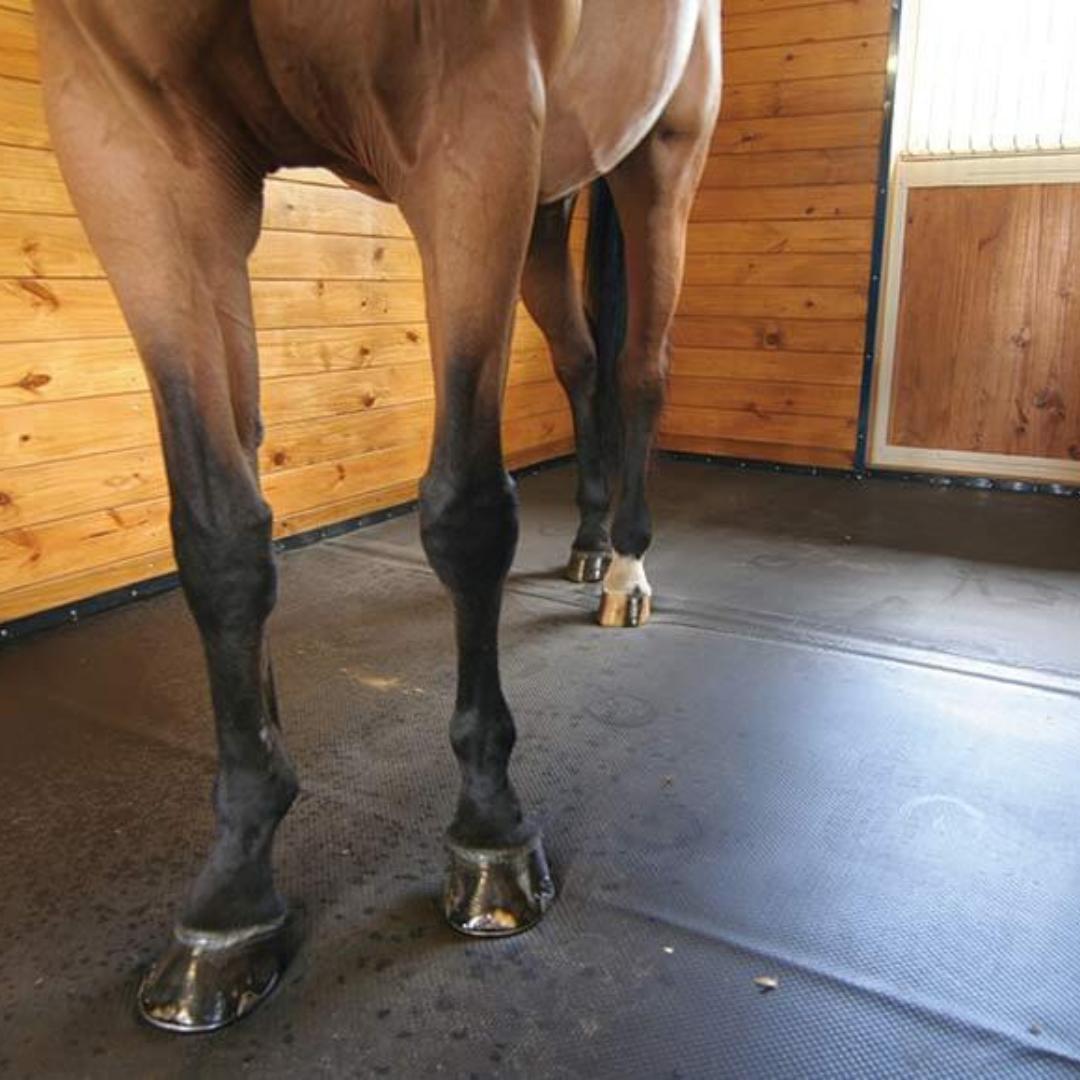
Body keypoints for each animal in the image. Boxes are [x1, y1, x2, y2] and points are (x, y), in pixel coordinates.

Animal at [34, 0, 722, 1032]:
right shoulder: (134, 151)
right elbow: (220, 535)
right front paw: (235, 890)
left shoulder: (474, 122)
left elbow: (467, 514)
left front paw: (491, 831)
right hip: (545, 209)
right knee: (583, 361)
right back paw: (592, 546)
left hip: (660, 159)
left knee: (641, 372)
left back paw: (631, 573)